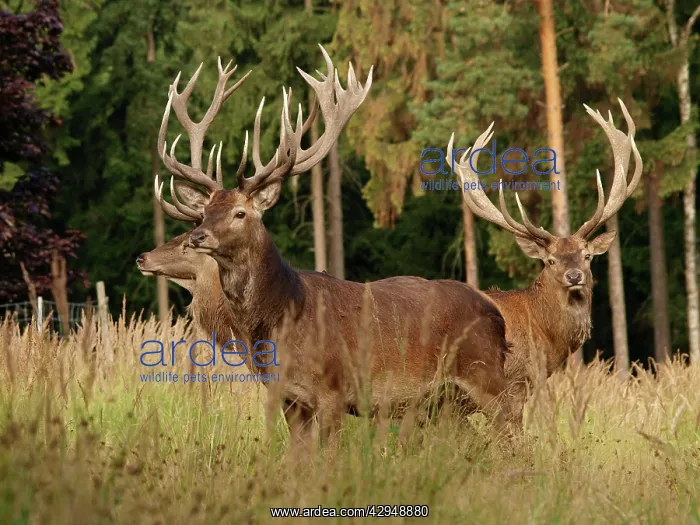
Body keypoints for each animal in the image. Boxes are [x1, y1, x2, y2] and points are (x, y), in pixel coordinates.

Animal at [153, 46, 519, 451]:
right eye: (203, 213)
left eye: (240, 212)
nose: (197, 237)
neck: (282, 317)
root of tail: (498, 316)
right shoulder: (291, 398)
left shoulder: (334, 390)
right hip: (446, 401)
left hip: (485, 374)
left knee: (514, 420)